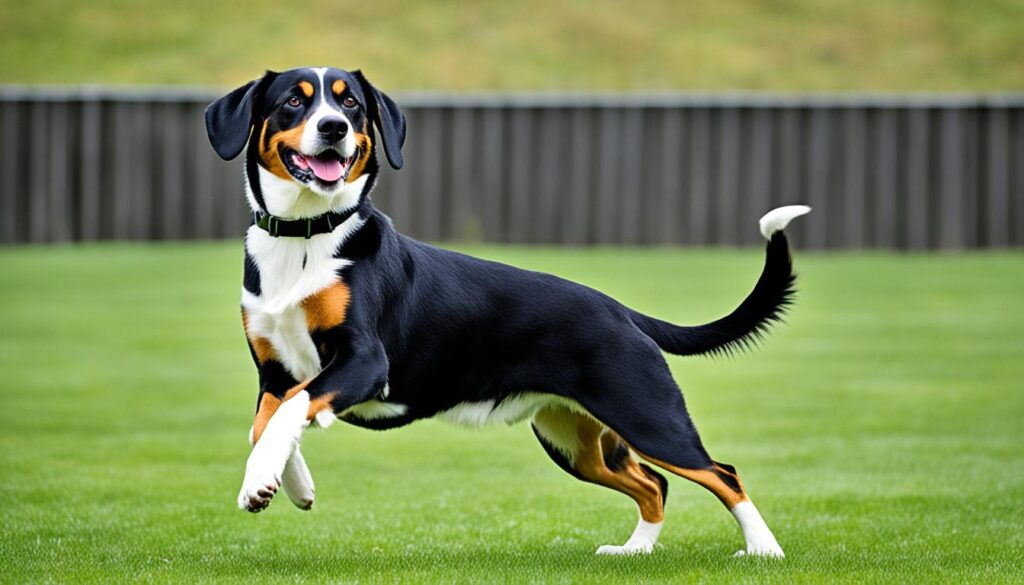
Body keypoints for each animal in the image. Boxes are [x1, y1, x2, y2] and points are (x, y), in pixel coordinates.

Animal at [207, 66, 811, 561]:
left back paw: (764, 550)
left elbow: (291, 410)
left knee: (721, 473)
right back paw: (635, 550)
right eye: (294, 101)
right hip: (577, 442)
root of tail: (618, 309)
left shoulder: (364, 363)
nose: (333, 127)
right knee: (654, 485)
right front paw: (289, 483)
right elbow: (270, 419)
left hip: (648, 417)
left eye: (349, 102)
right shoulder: (274, 370)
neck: (305, 239)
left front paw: (261, 480)